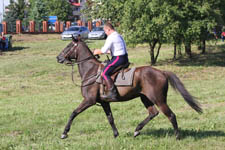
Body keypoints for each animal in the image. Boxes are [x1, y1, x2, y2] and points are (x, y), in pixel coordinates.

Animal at [56, 37, 202, 139]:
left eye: (69, 46)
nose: (58, 57)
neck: (90, 71)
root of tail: (162, 72)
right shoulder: (104, 102)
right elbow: (110, 118)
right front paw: (116, 134)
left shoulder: (89, 100)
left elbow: (73, 113)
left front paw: (64, 133)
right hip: (145, 98)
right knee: (153, 113)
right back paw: (137, 130)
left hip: (159, 100)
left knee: (171, 115)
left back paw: (177, 136)